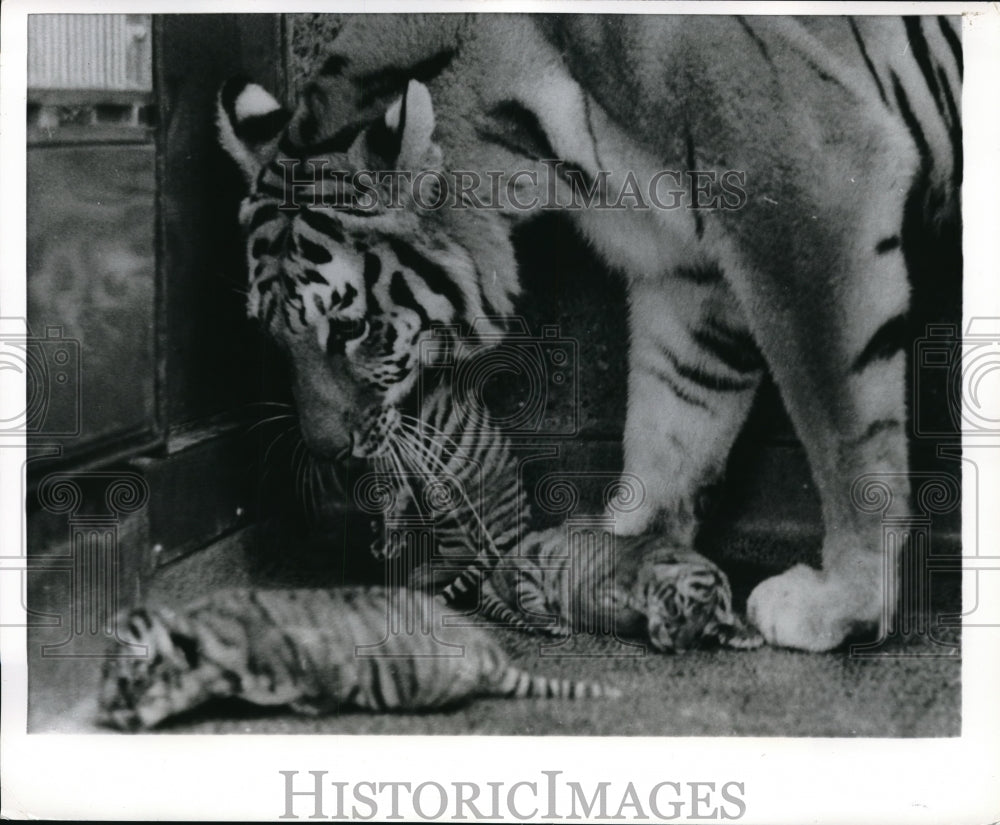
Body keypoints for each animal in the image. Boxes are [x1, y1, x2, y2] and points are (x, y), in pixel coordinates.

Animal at [98, 586, 619, 731]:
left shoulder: (321, 663)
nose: (103, 714)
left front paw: (309, 707)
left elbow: (324, 692)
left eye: (132, 682)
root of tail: (492, 655)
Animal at [215, 15, 961, 652]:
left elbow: (845, 431)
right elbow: (673, 421)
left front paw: (845, 603)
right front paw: (621, 553)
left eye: (351, 326)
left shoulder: (807, 194)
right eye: (273, 336)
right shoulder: (689, 273)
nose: (327, 452)